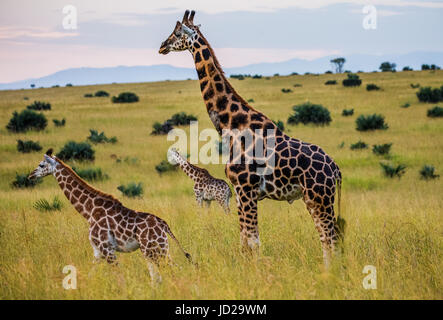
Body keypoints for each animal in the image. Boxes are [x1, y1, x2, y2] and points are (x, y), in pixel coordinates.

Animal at [28, 149, 192, 282]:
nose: (30, 175)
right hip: (158, 248)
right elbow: (90, 274)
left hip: (153, 249)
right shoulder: (97, 251)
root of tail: (164, 225)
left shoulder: (107, 249)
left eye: (41, 165)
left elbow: (120, 277)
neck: (89, 211)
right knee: (159, 276)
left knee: (171, 271)